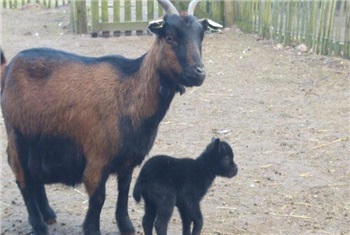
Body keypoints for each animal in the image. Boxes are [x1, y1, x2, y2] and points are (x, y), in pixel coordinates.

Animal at [0, 0, 221, 234]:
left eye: (201, 36)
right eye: (170, 37)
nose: (198, 72)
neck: (129, 92)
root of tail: (8, 68)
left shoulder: (128, 160)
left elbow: (124, 191)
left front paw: (126, 225)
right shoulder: (97, 158)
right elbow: (98, 197)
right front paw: (91, 228)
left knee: (34, 174)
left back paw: (48, 214)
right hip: (17, 135)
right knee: (22, 178)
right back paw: (39, 223)